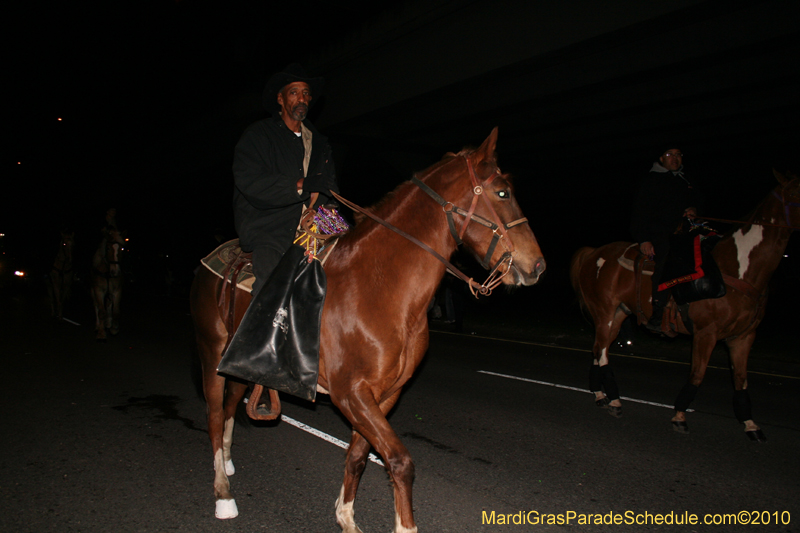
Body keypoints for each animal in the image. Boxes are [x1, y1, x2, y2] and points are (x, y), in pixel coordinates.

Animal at [191, 128, 548, 528]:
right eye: (502, 193)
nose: (537, 265)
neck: (379, 287)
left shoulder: (384, 395)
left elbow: (359, 456)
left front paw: (346, 517)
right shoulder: (352, 393)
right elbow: (399, 461)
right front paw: (403, 525)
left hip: (238, 364)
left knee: (230, 409)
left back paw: (227, 462)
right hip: (211, 355)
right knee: (214, 416)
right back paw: (223, 493)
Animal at [572, 170, 796, 440]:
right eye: (797, 192)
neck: (738, 267)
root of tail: (594, 252)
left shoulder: (743, 336)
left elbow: (741, 379)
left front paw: (750, 423)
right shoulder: (705, 333)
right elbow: (697, 375)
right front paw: (679, 416)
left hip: (617, 315)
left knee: (598, 349)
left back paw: (600, 394)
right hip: (603, 313)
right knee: (602, 352)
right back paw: (614, 400)